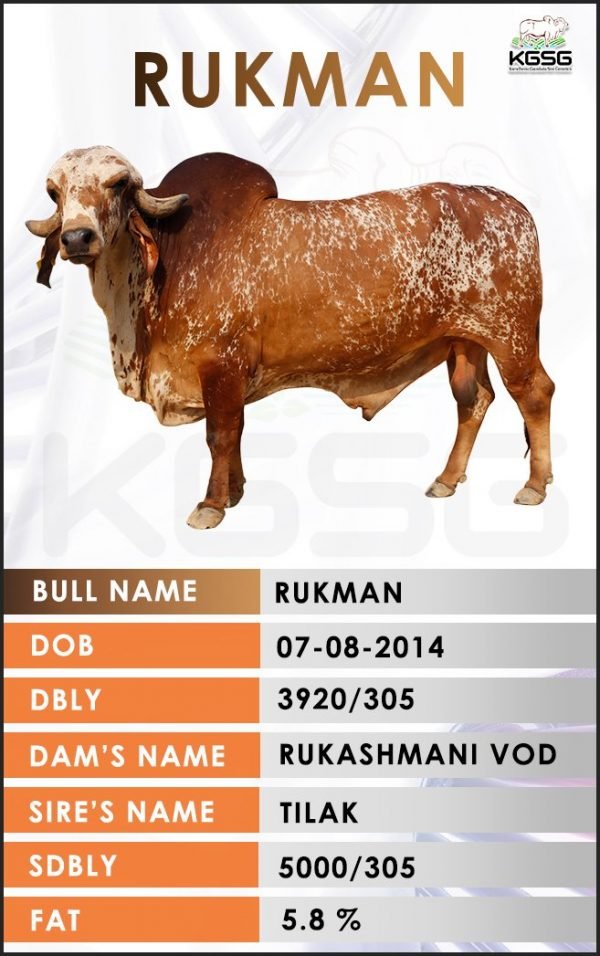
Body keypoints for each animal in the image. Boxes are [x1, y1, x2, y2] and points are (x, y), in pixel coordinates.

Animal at [26, 146, 555, 529]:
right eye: (55, 192)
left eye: (117, 184)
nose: (76, 238)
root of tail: (513, 206)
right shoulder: (230, 378)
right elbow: (234, 432)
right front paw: (235, 492)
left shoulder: (218, 365)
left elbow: (220, 434)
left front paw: (212, 504)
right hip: (465, 343)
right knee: (473, 400)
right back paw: (447, 478)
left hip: (510, 336)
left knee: (535, 394)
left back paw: (534, 486)